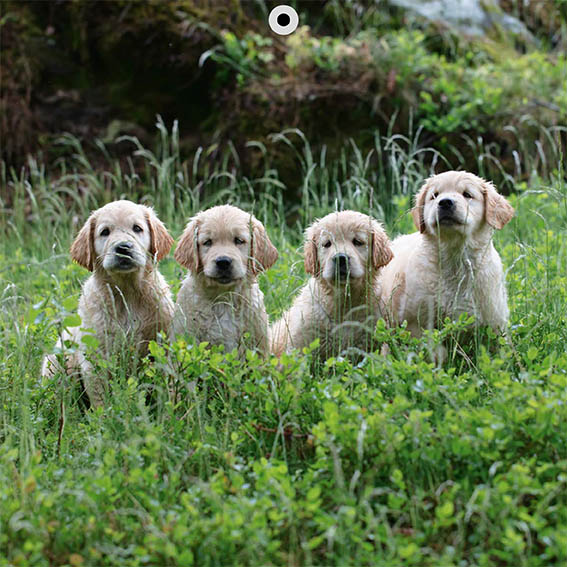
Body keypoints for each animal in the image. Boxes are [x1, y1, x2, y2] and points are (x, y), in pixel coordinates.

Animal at [42, 202, 174, 406]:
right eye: (105, 232)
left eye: (137, 228)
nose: (123, 247)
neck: (127, 293)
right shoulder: (95, 356)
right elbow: (100, 398)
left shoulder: (162, 343)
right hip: (56, 363)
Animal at [382, 171, 516, 362]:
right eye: (434, 196)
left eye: (467, 194)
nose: (445, 202)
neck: (455, 261)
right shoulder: (416, 321)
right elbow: (435, 349)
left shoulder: (494, 320)